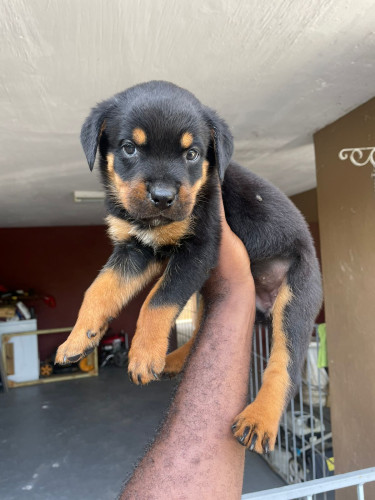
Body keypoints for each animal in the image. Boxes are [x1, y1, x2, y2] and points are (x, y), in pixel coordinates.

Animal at [56, 80, 324, 456]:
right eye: (129, 148)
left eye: (192, 154)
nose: (163, 197)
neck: (152, 224)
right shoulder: (136, 250)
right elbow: (99, 290)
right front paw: (79, 338)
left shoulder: (199, 249)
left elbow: (157, 301)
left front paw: (143, 355)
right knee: (200, 331)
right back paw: (173, 360)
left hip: (296, 298)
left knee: (285, 363)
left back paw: (260, 419)